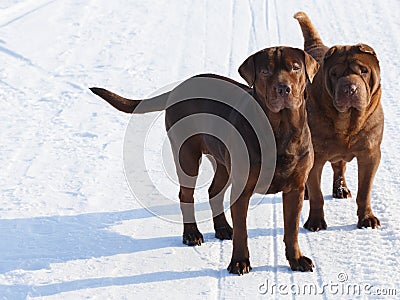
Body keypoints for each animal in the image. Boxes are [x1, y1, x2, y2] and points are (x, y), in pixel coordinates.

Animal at [90, 46, 318, 274]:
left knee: (214, 191)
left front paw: (296, 259)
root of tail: (179, 87)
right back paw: (191, 233)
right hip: (186, 155)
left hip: (222, 161)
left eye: (295, 68)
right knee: (186, 194)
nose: (283, 89)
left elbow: (291, 230)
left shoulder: (296, 189)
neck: (281, 129)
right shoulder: (242, 189)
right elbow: (242, 232)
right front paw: (239, 261)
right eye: (265, 71)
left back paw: (223, 227)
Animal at [294, 11, 384, 231]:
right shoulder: (316, 156)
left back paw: (341, 189)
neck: (348, 122)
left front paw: (367, 219)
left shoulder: (370, 154)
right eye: (335, 74)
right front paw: (315, 222)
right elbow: (317, 193)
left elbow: (365, 191)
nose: (349, 88)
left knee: (339, 166)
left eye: (363, 71)